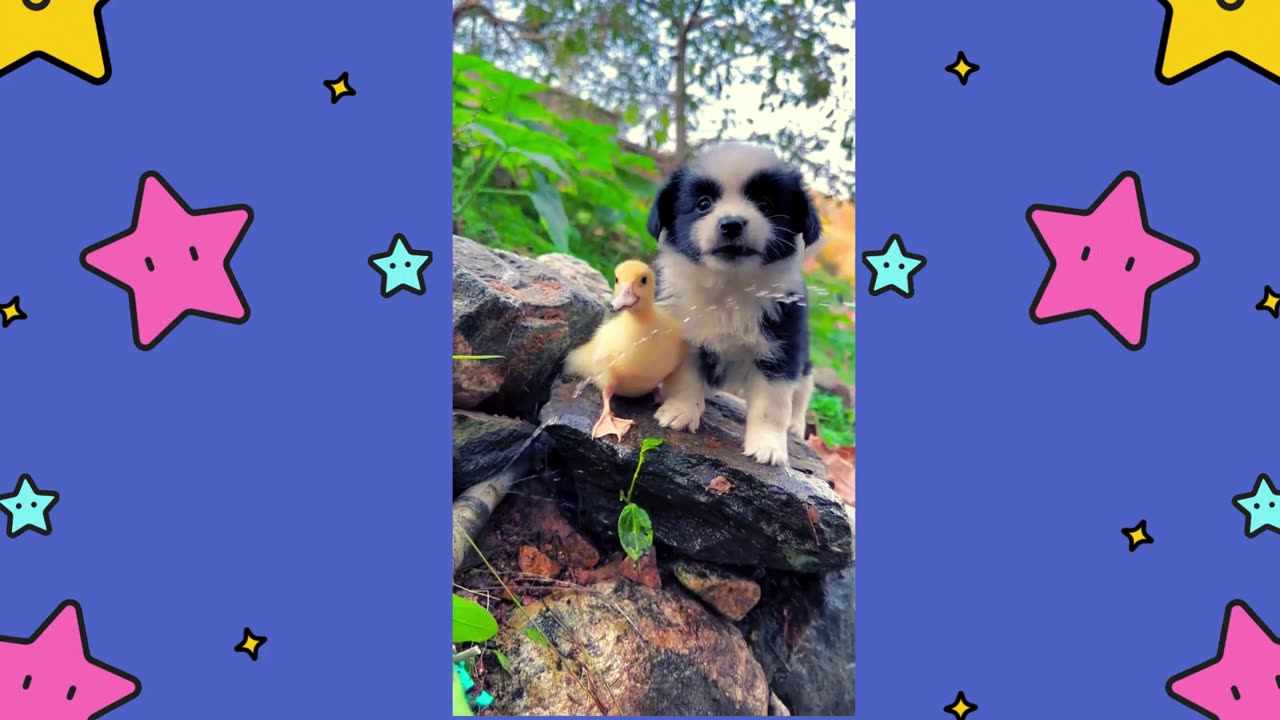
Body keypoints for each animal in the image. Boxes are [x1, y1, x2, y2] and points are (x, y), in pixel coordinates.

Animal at [645, 142, 824, 466]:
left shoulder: (781, 345)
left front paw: (768, 445)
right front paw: (681, 411)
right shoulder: (684, 332)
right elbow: (685, 378)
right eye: (703, 204)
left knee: (803, 387)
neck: (730, 286)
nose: (731, 224)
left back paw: (795, 425)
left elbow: (772, 404)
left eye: (765, 204)